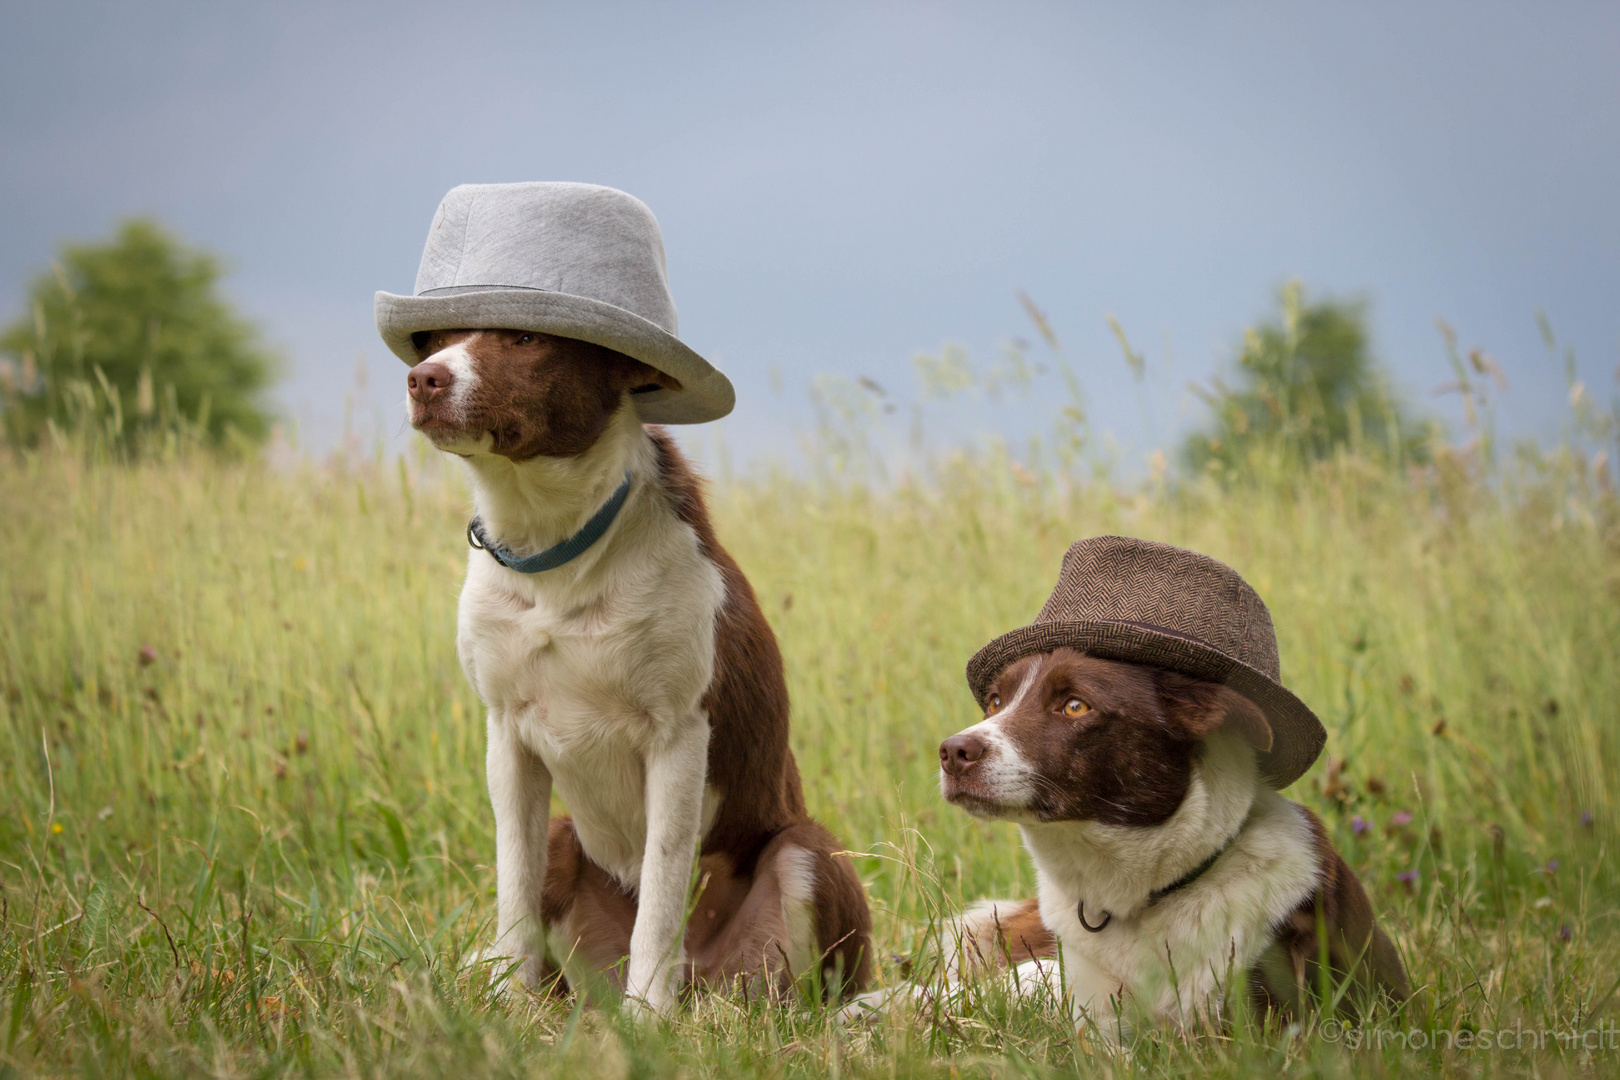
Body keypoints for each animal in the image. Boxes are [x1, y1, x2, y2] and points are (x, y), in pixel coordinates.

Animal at [377, 181, 868, 1016]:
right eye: (436, 336)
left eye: (525, 338)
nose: (425, 378)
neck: (554, 548)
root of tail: (712, 980)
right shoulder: (508, 737)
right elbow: (512, 889)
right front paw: (507, 1004)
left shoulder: (677, 738)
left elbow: (664, 892)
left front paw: (646, 1017)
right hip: (565, 842)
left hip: (804, 856)